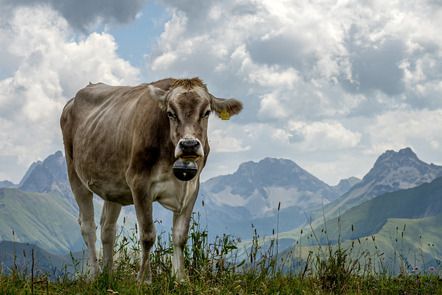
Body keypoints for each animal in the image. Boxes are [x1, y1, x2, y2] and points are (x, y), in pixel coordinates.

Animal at [59, 77, 242, 284]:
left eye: (206, 112)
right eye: (170, 113)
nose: (189, 145)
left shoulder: (192, 187)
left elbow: (180, 236)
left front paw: (181, 278)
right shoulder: (139, 183)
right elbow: (147, 235)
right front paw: (144, 280)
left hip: (113, 185)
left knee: (107, 227)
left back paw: (109, 275)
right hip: (75, 173)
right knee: (88, 226)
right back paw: (95, 275)